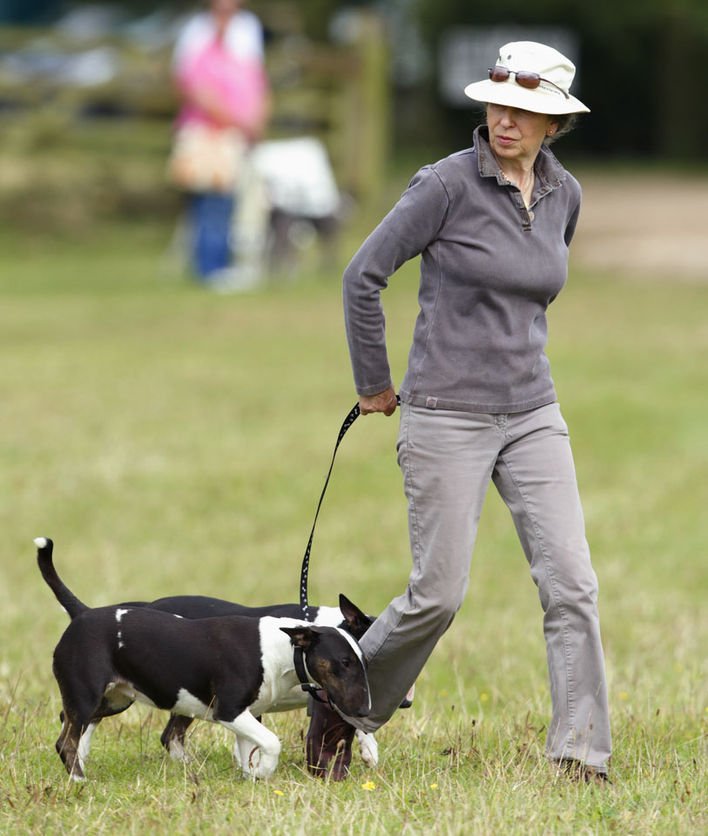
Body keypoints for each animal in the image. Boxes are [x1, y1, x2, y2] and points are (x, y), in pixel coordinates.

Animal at [36, 540, 370, 780]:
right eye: (344, 662)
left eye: (363, 660)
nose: (365, 709)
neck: (282, 647)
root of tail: (82, 613)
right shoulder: (230, 710)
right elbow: (271, 742)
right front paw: (264, 771)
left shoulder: (248, 712)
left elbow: (249, 748)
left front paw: (252, 777)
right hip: (87, 693)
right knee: (66, 737)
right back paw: (79, 780)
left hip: (117, 697)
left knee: (77, 725)